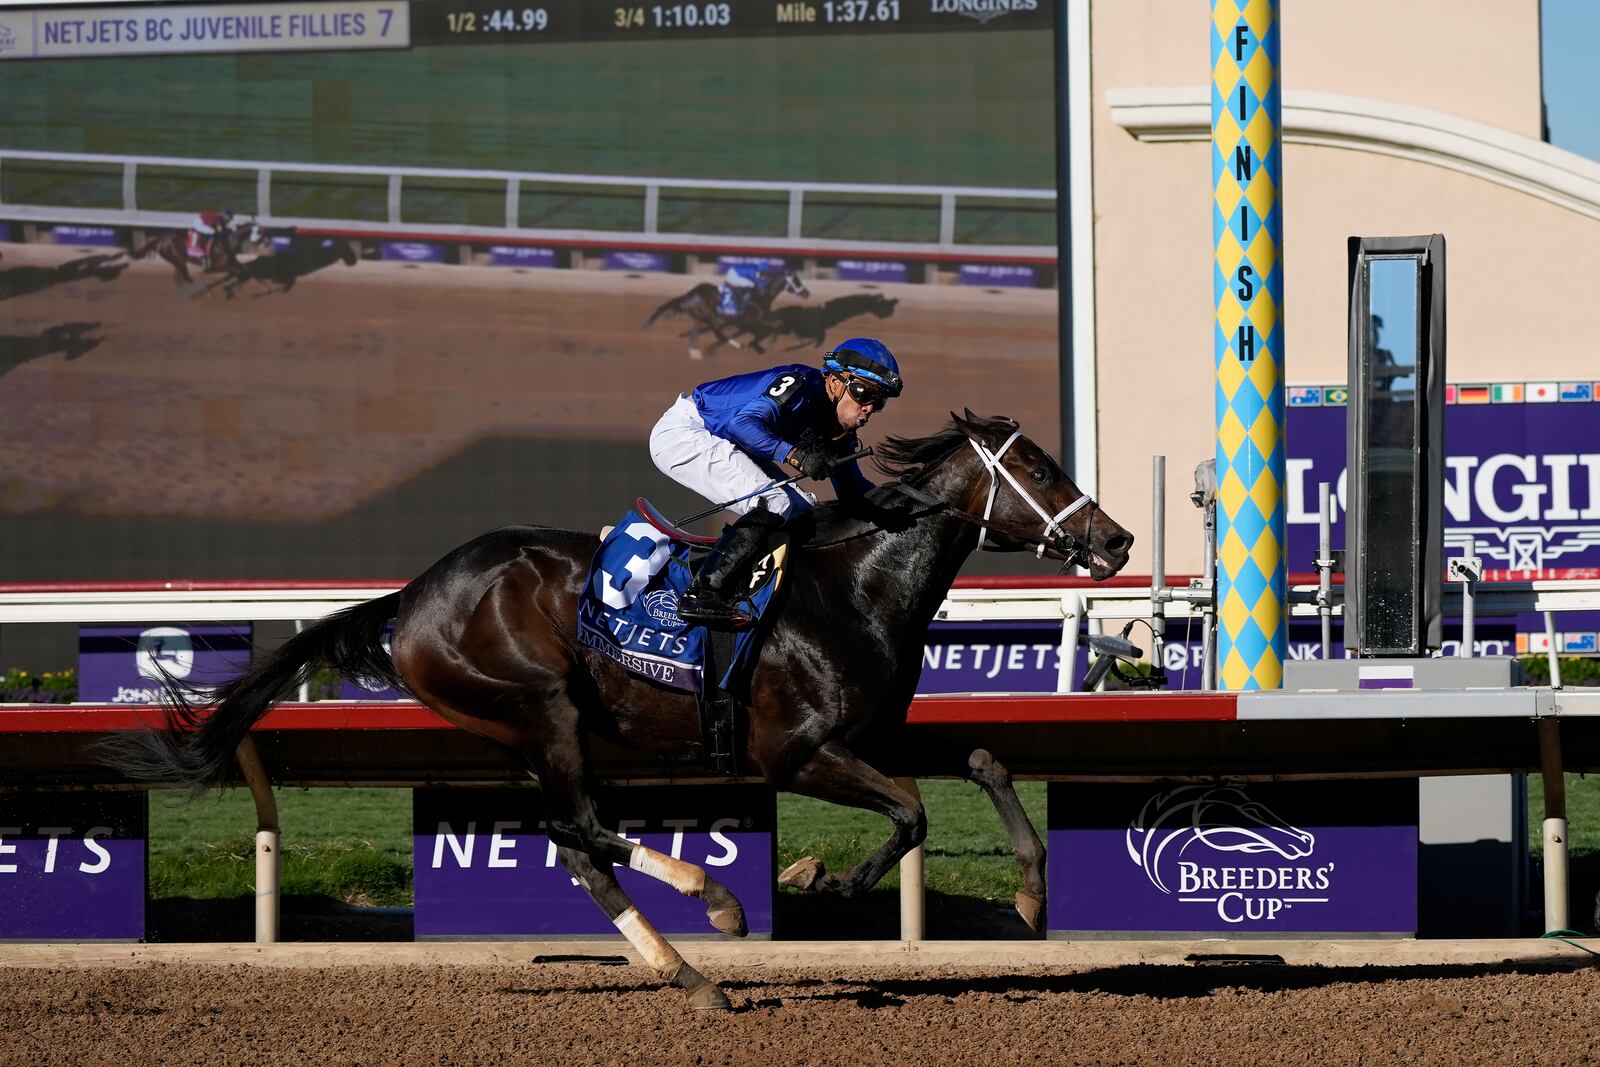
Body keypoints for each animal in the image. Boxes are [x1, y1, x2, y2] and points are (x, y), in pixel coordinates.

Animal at [109, 412, 1139, 1017]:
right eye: (1037, 464)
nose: (1119, 538)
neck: (855, 586)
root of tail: (412, 595)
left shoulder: (872, 732)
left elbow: (982, 759)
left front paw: (1030, 890)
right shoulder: (797, 751)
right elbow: (912, 809)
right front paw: (840, 885)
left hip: (535, 731)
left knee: (579, 844)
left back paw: (685, 967)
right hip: (545, 705)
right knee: (580, 827)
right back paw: (714, 906)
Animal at [640, 262, 806, 358]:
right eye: (796, 280)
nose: (806, 292)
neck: (761, 294)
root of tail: (688, 295)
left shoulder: (761, 317)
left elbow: (780, 322)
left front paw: (798, 339)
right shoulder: (756, 318)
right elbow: (776, 324)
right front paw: (763, 346)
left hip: (700, 316)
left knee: (695, 332)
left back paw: (695, 352)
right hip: (709, 314)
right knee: (718, 333)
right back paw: (736, 345)